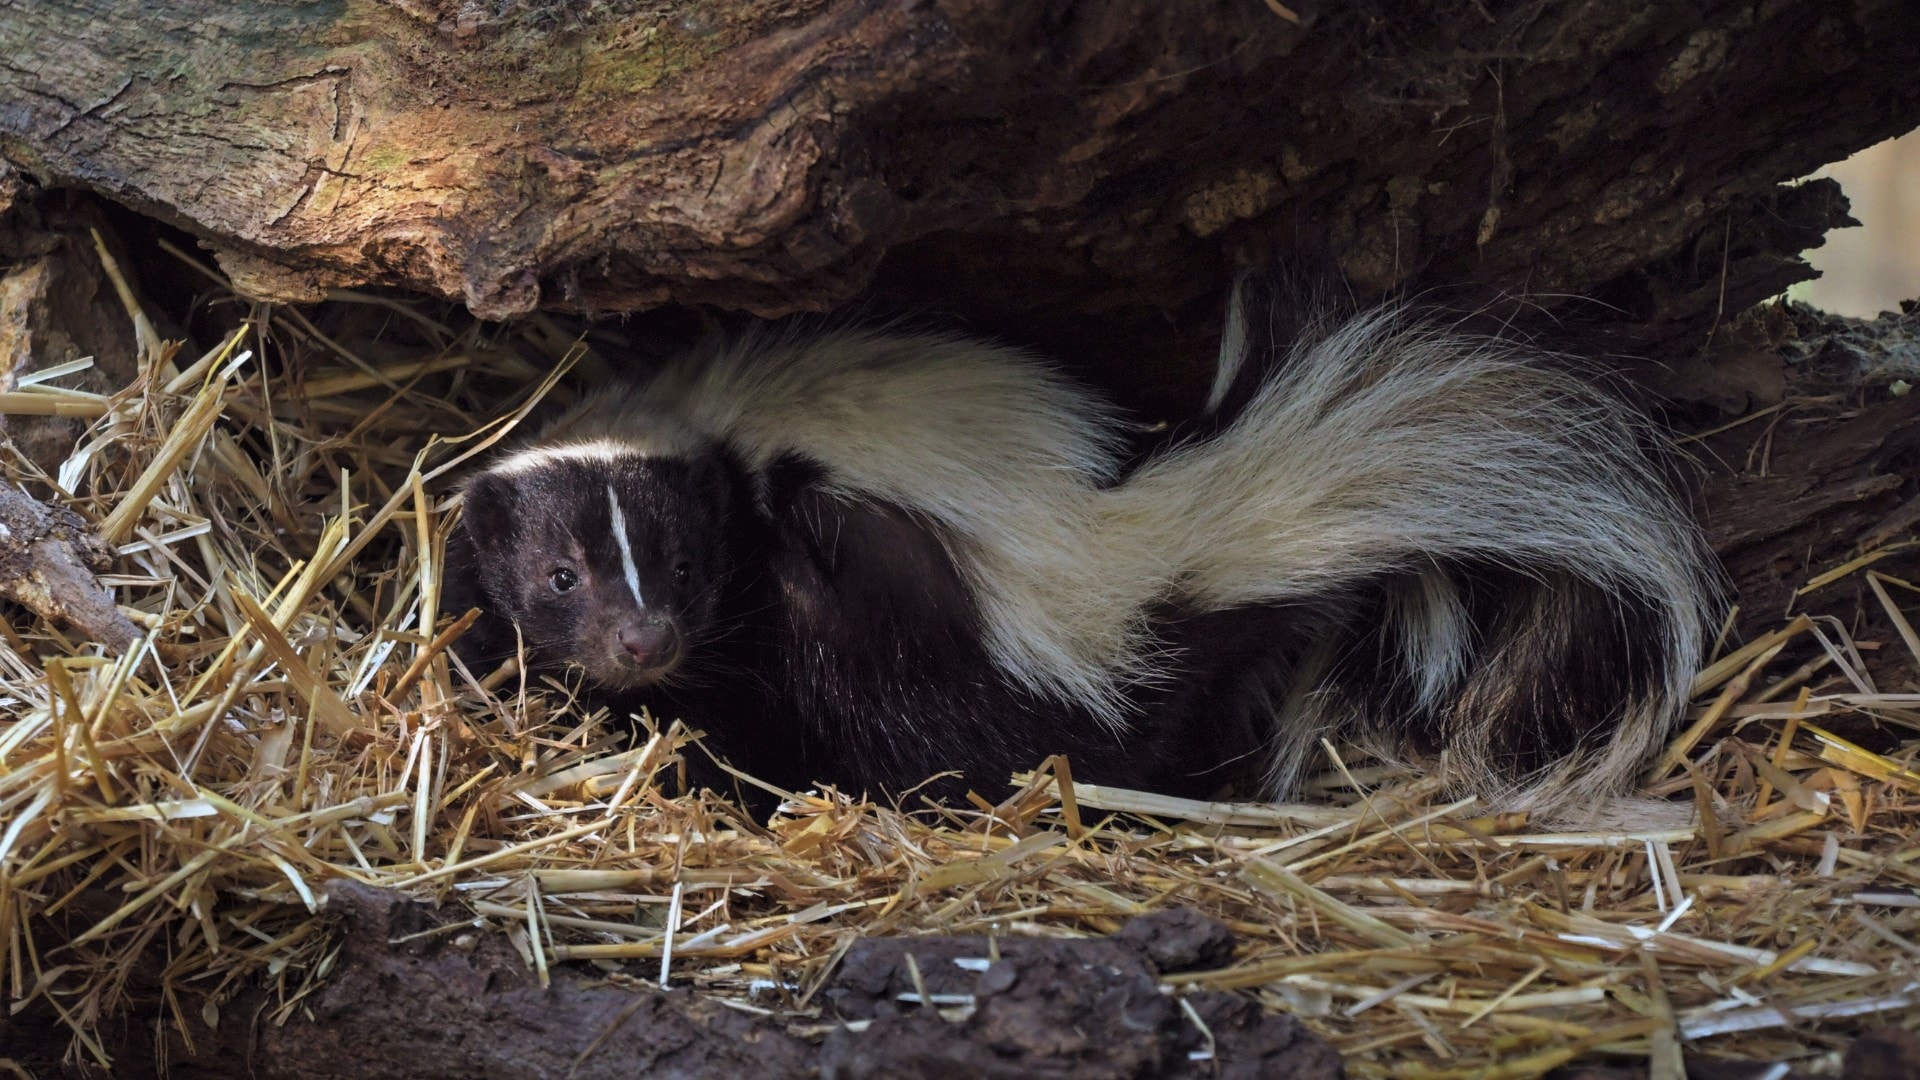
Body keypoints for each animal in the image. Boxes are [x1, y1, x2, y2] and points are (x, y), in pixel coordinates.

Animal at [449, 282, 1728, 810]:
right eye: (560, 576)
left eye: (682, 567)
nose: (641, 641)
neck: (695, 421)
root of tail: (1139, 541)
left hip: (910, 632)